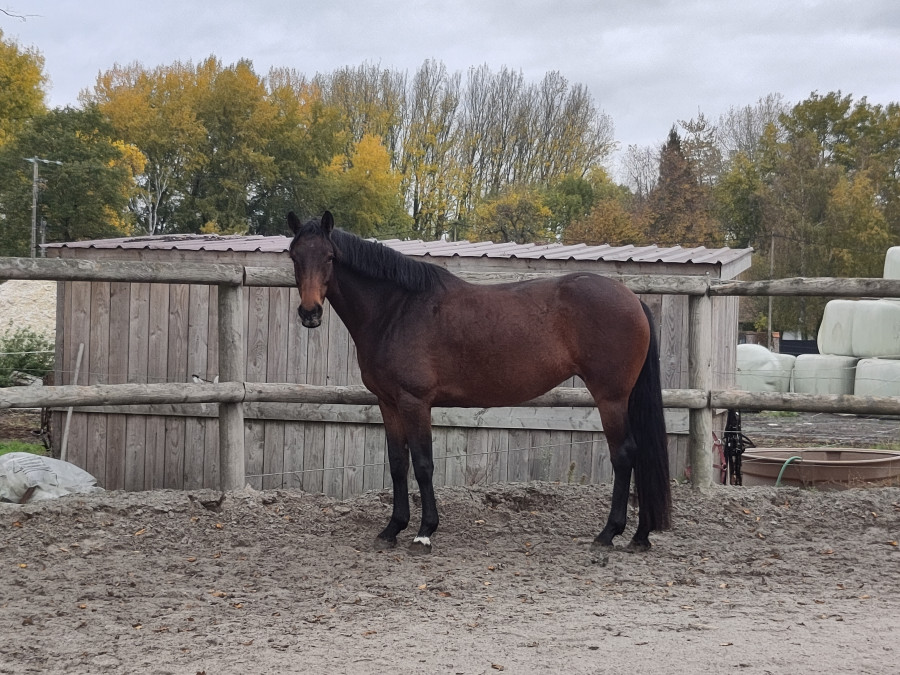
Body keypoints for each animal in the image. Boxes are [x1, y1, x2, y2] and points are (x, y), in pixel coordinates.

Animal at [287, 211, 671, 554]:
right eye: (294, 255)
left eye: (330, 257)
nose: (310, 313)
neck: (396, 309)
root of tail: (633, 299)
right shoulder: (389, 403)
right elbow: (398, 464)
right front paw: (392, 529)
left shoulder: (415, 402)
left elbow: (423, 465)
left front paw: (424, 534)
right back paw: (640, 536)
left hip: (611, 398)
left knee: (624, 455)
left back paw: (608, 534)